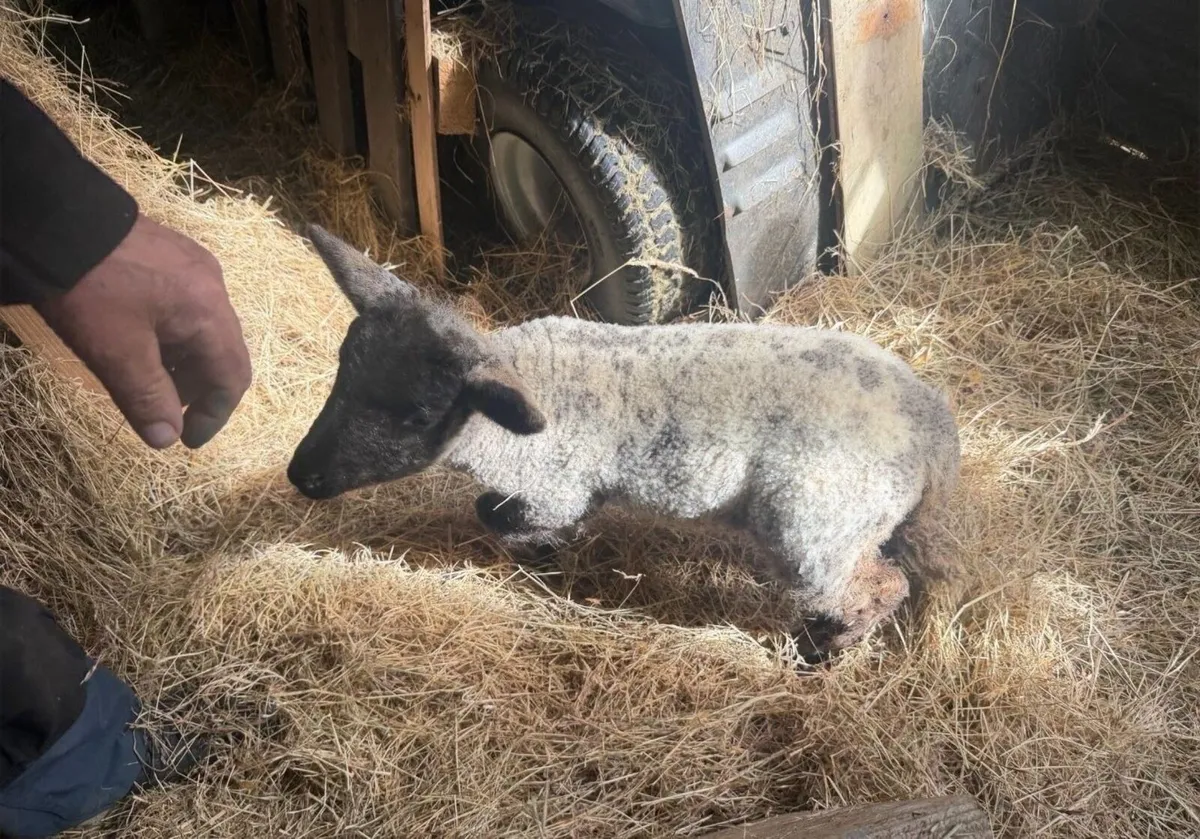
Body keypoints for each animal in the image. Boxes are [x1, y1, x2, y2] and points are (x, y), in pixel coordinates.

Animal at [287, 225, 962, 656]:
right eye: (343, 369)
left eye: (418, 413)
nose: (302, 475)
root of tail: (935, 431)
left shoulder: (554, 484)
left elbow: (498, 513)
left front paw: (543, 553)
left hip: (814, 520)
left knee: (876, 586)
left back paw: (824, 649)